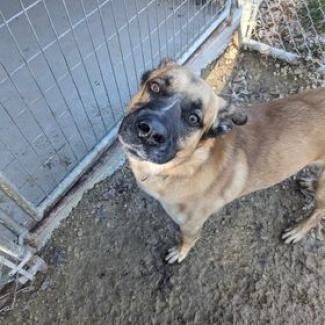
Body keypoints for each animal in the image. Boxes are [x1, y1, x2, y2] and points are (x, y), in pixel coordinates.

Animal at [117, 58, 324, 264]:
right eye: (155, 87)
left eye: (194, 119)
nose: (149, 131)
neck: (189, 165)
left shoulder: (191, 225)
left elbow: (187, 240)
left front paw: (180, 252)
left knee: (318, 212)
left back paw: (298, 231)